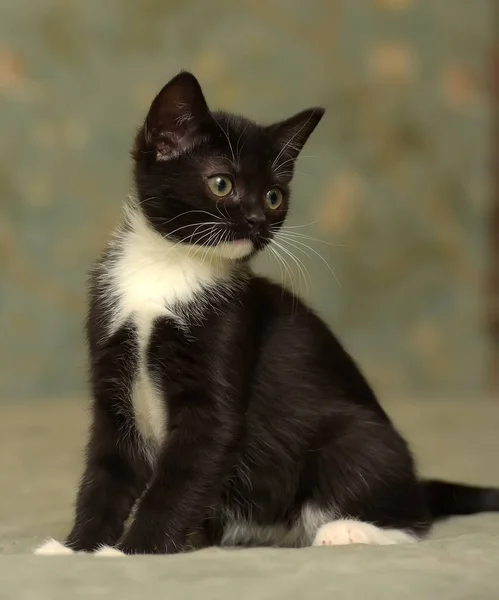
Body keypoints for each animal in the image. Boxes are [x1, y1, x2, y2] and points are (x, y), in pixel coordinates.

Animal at [36, 72, 499, 556]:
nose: (258, 219)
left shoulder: (227, 340)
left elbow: (182, 474)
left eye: (275, 196)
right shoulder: (112, 361)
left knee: (410, 518)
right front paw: (77, 550)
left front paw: (133, 551)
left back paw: (349, 530)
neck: (168, 268)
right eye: (222, 184)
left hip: (358, 439)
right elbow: (106, 470)